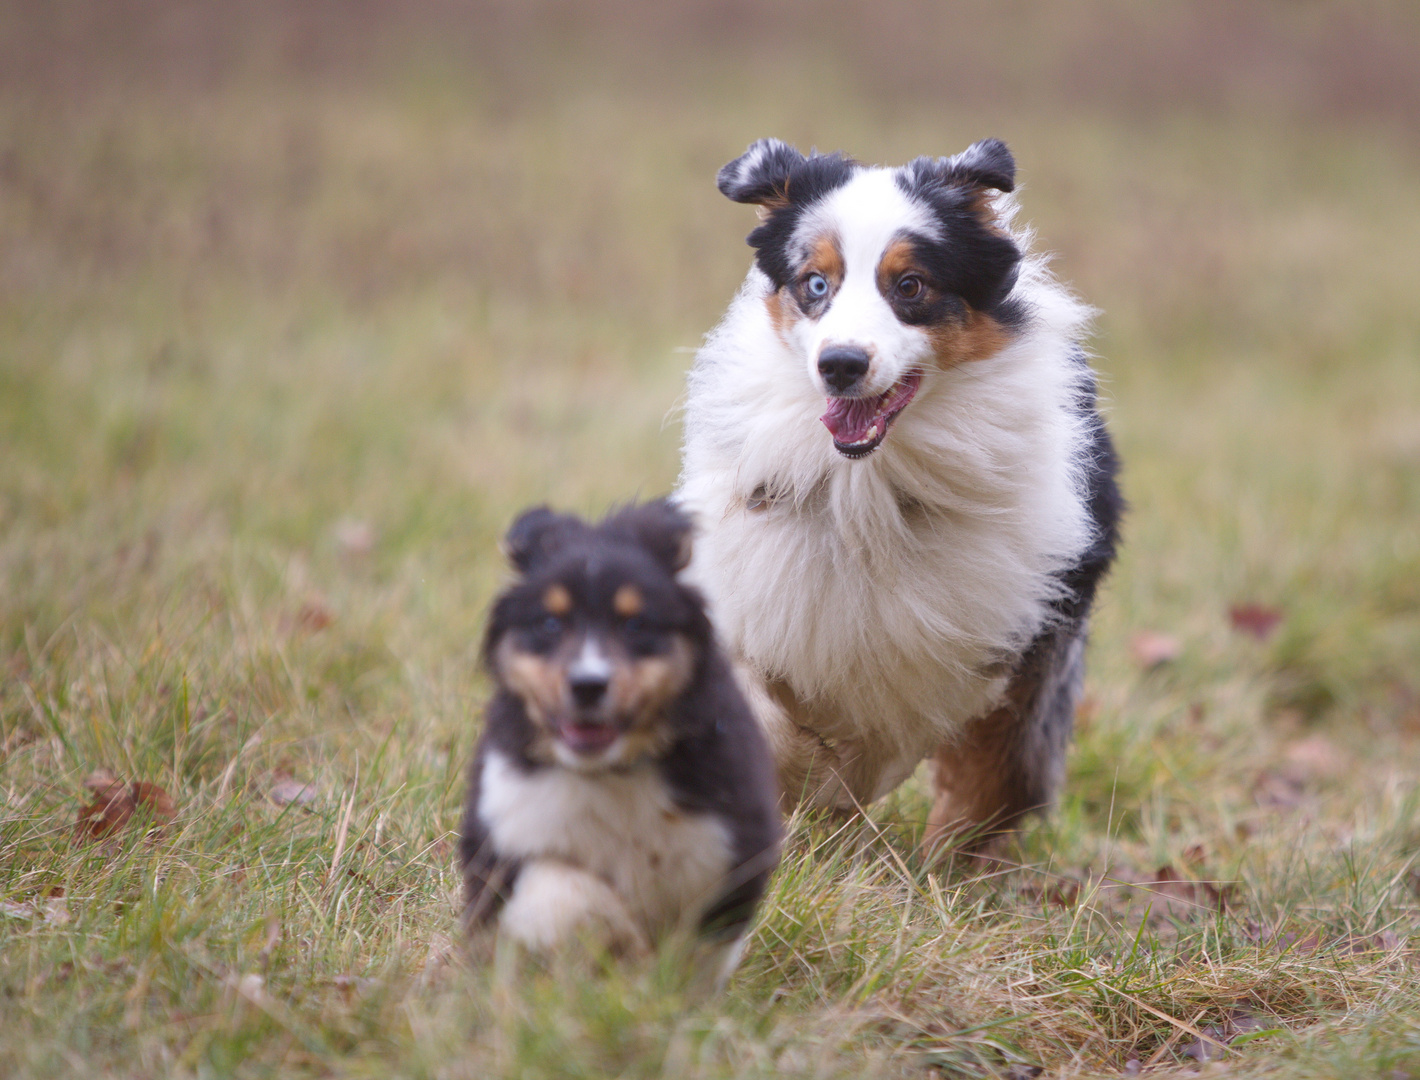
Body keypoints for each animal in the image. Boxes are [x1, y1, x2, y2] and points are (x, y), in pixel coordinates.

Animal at [460, 502, 783, 970]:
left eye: (636, 624)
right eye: (549, 623)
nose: (588, 684)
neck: (612, 772)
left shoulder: (733, 842)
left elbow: (698, 947)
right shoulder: (505, 827)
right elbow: (568, 891)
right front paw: (619, 940)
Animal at [675, 134, 1118, 845]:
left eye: (910, 286)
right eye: (816, 284)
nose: (840, 364)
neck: (869, 489)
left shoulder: (1014, 624)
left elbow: (974, 761)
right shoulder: (754, 585)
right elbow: (759, 708)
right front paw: (804, 779)